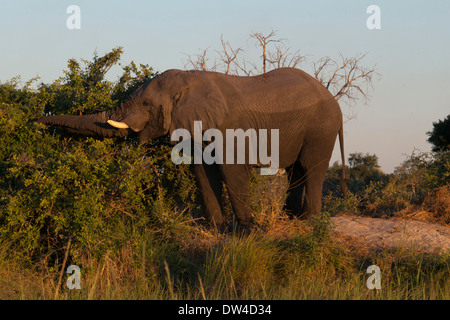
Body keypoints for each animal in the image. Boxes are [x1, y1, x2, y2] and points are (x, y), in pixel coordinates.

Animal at [38, 67, 346, 232]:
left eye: (146, 105)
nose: (36, 120)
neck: (190, 81)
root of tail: (333, 99)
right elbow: (202, 173)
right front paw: (219, 229)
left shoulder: (228, 128)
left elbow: (232, 172)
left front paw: (248, 232)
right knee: (296, 172)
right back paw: (290, 219)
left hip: (322, 128)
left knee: (312, 170)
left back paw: (309, 224)